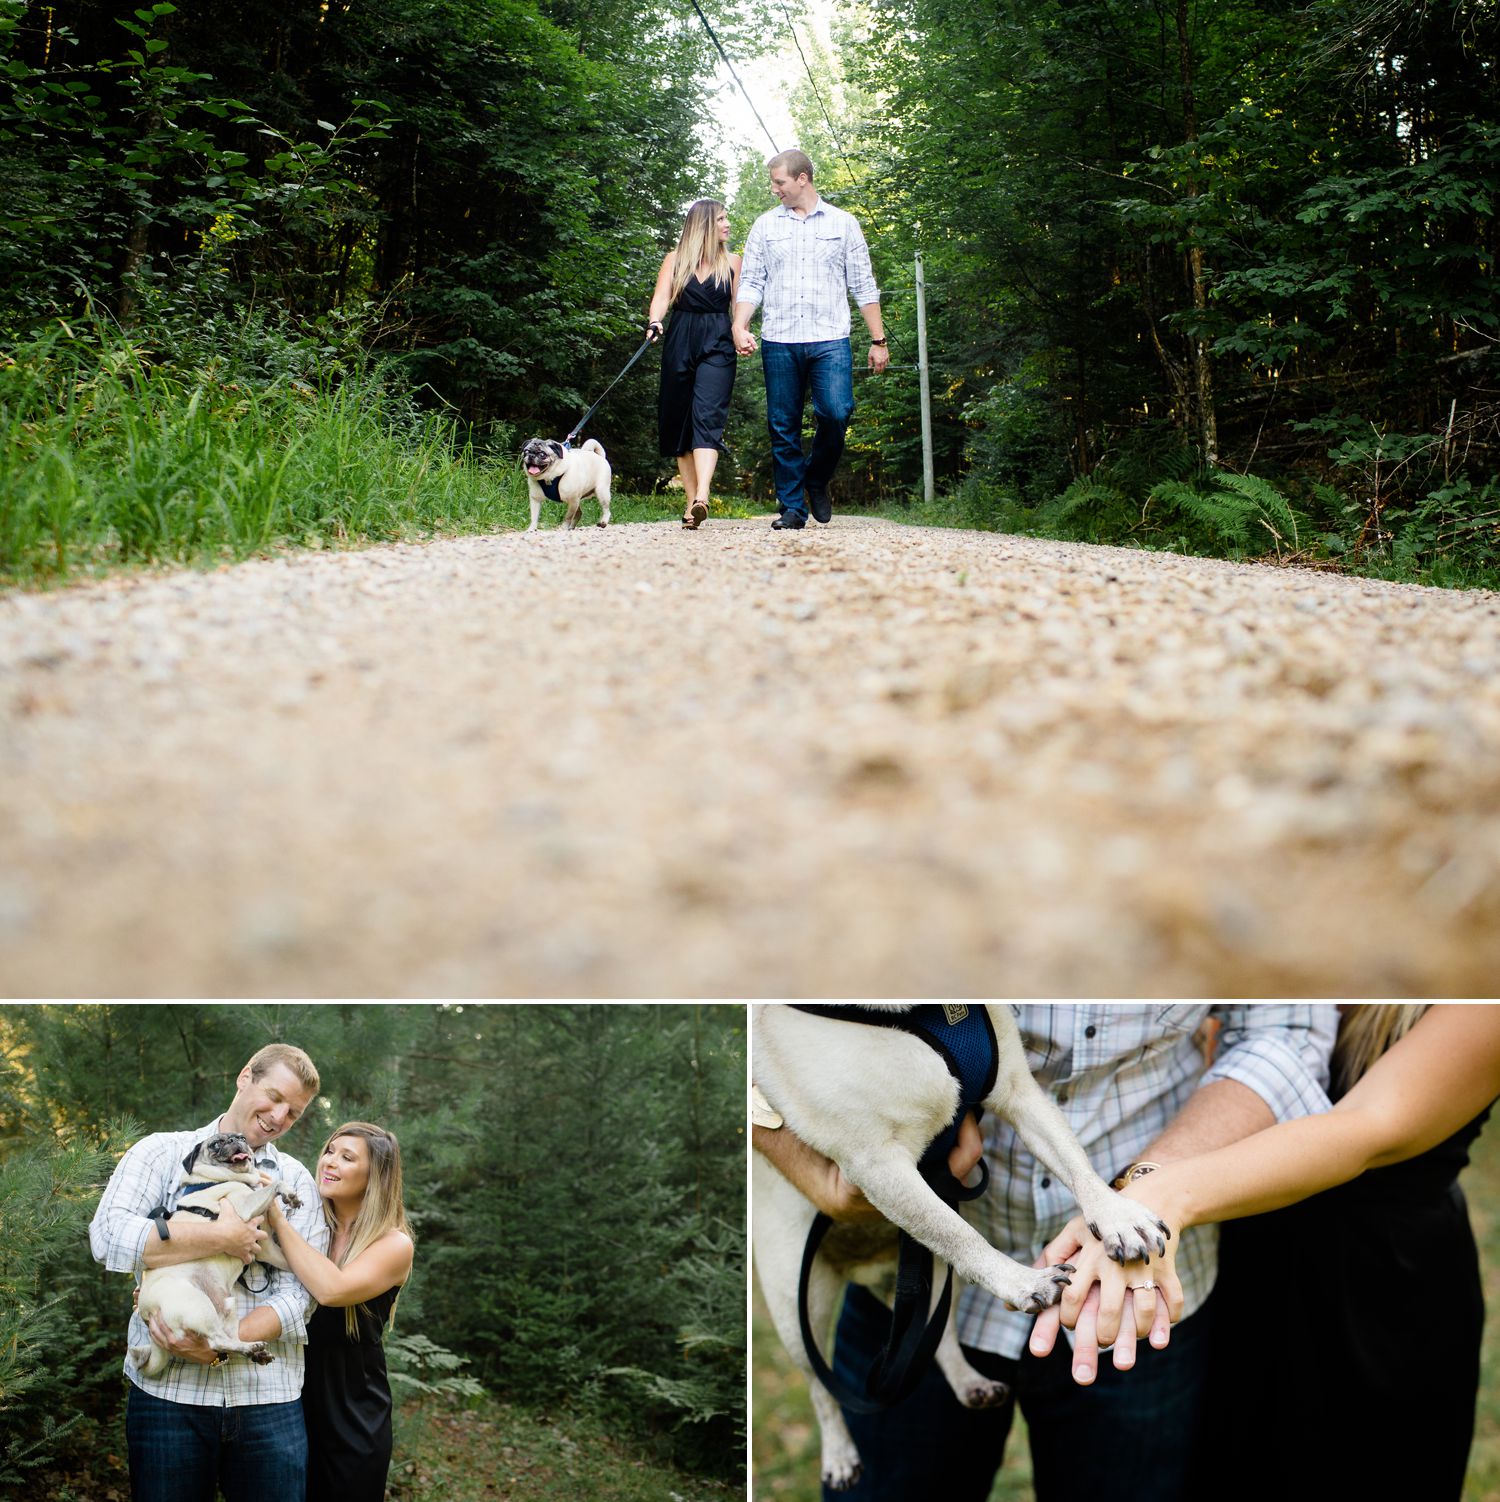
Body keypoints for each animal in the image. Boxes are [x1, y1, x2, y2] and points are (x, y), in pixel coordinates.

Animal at [131, 1129, 301, 1375]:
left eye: (242, 1137)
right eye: (216, 1144)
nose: (235, 1140)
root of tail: (146, 1312)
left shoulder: (267, 1248)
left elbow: (287, 1259)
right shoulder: (244, 1207)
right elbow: (276, 1183)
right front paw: (288, 1192)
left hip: (228, 1307)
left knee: (227, 1339)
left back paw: (254, 1351)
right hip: (198, 1304)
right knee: (215, 1341)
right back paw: (250, 1348)